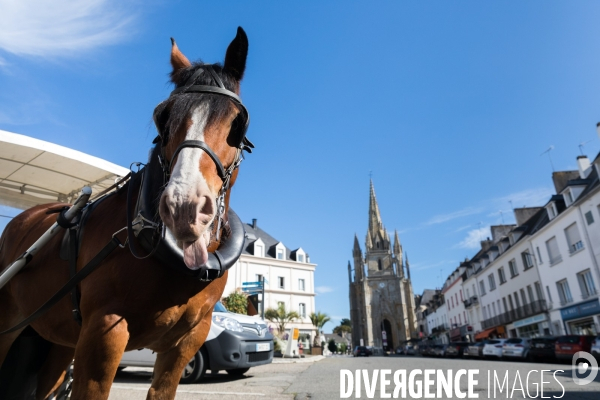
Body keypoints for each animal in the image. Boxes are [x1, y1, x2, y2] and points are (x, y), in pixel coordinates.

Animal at [0, 26, 252, 398]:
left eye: (238, 124)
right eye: (163, 116)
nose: (184, 206)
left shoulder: (187, 341)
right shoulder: (104, 332)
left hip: (55, 343)